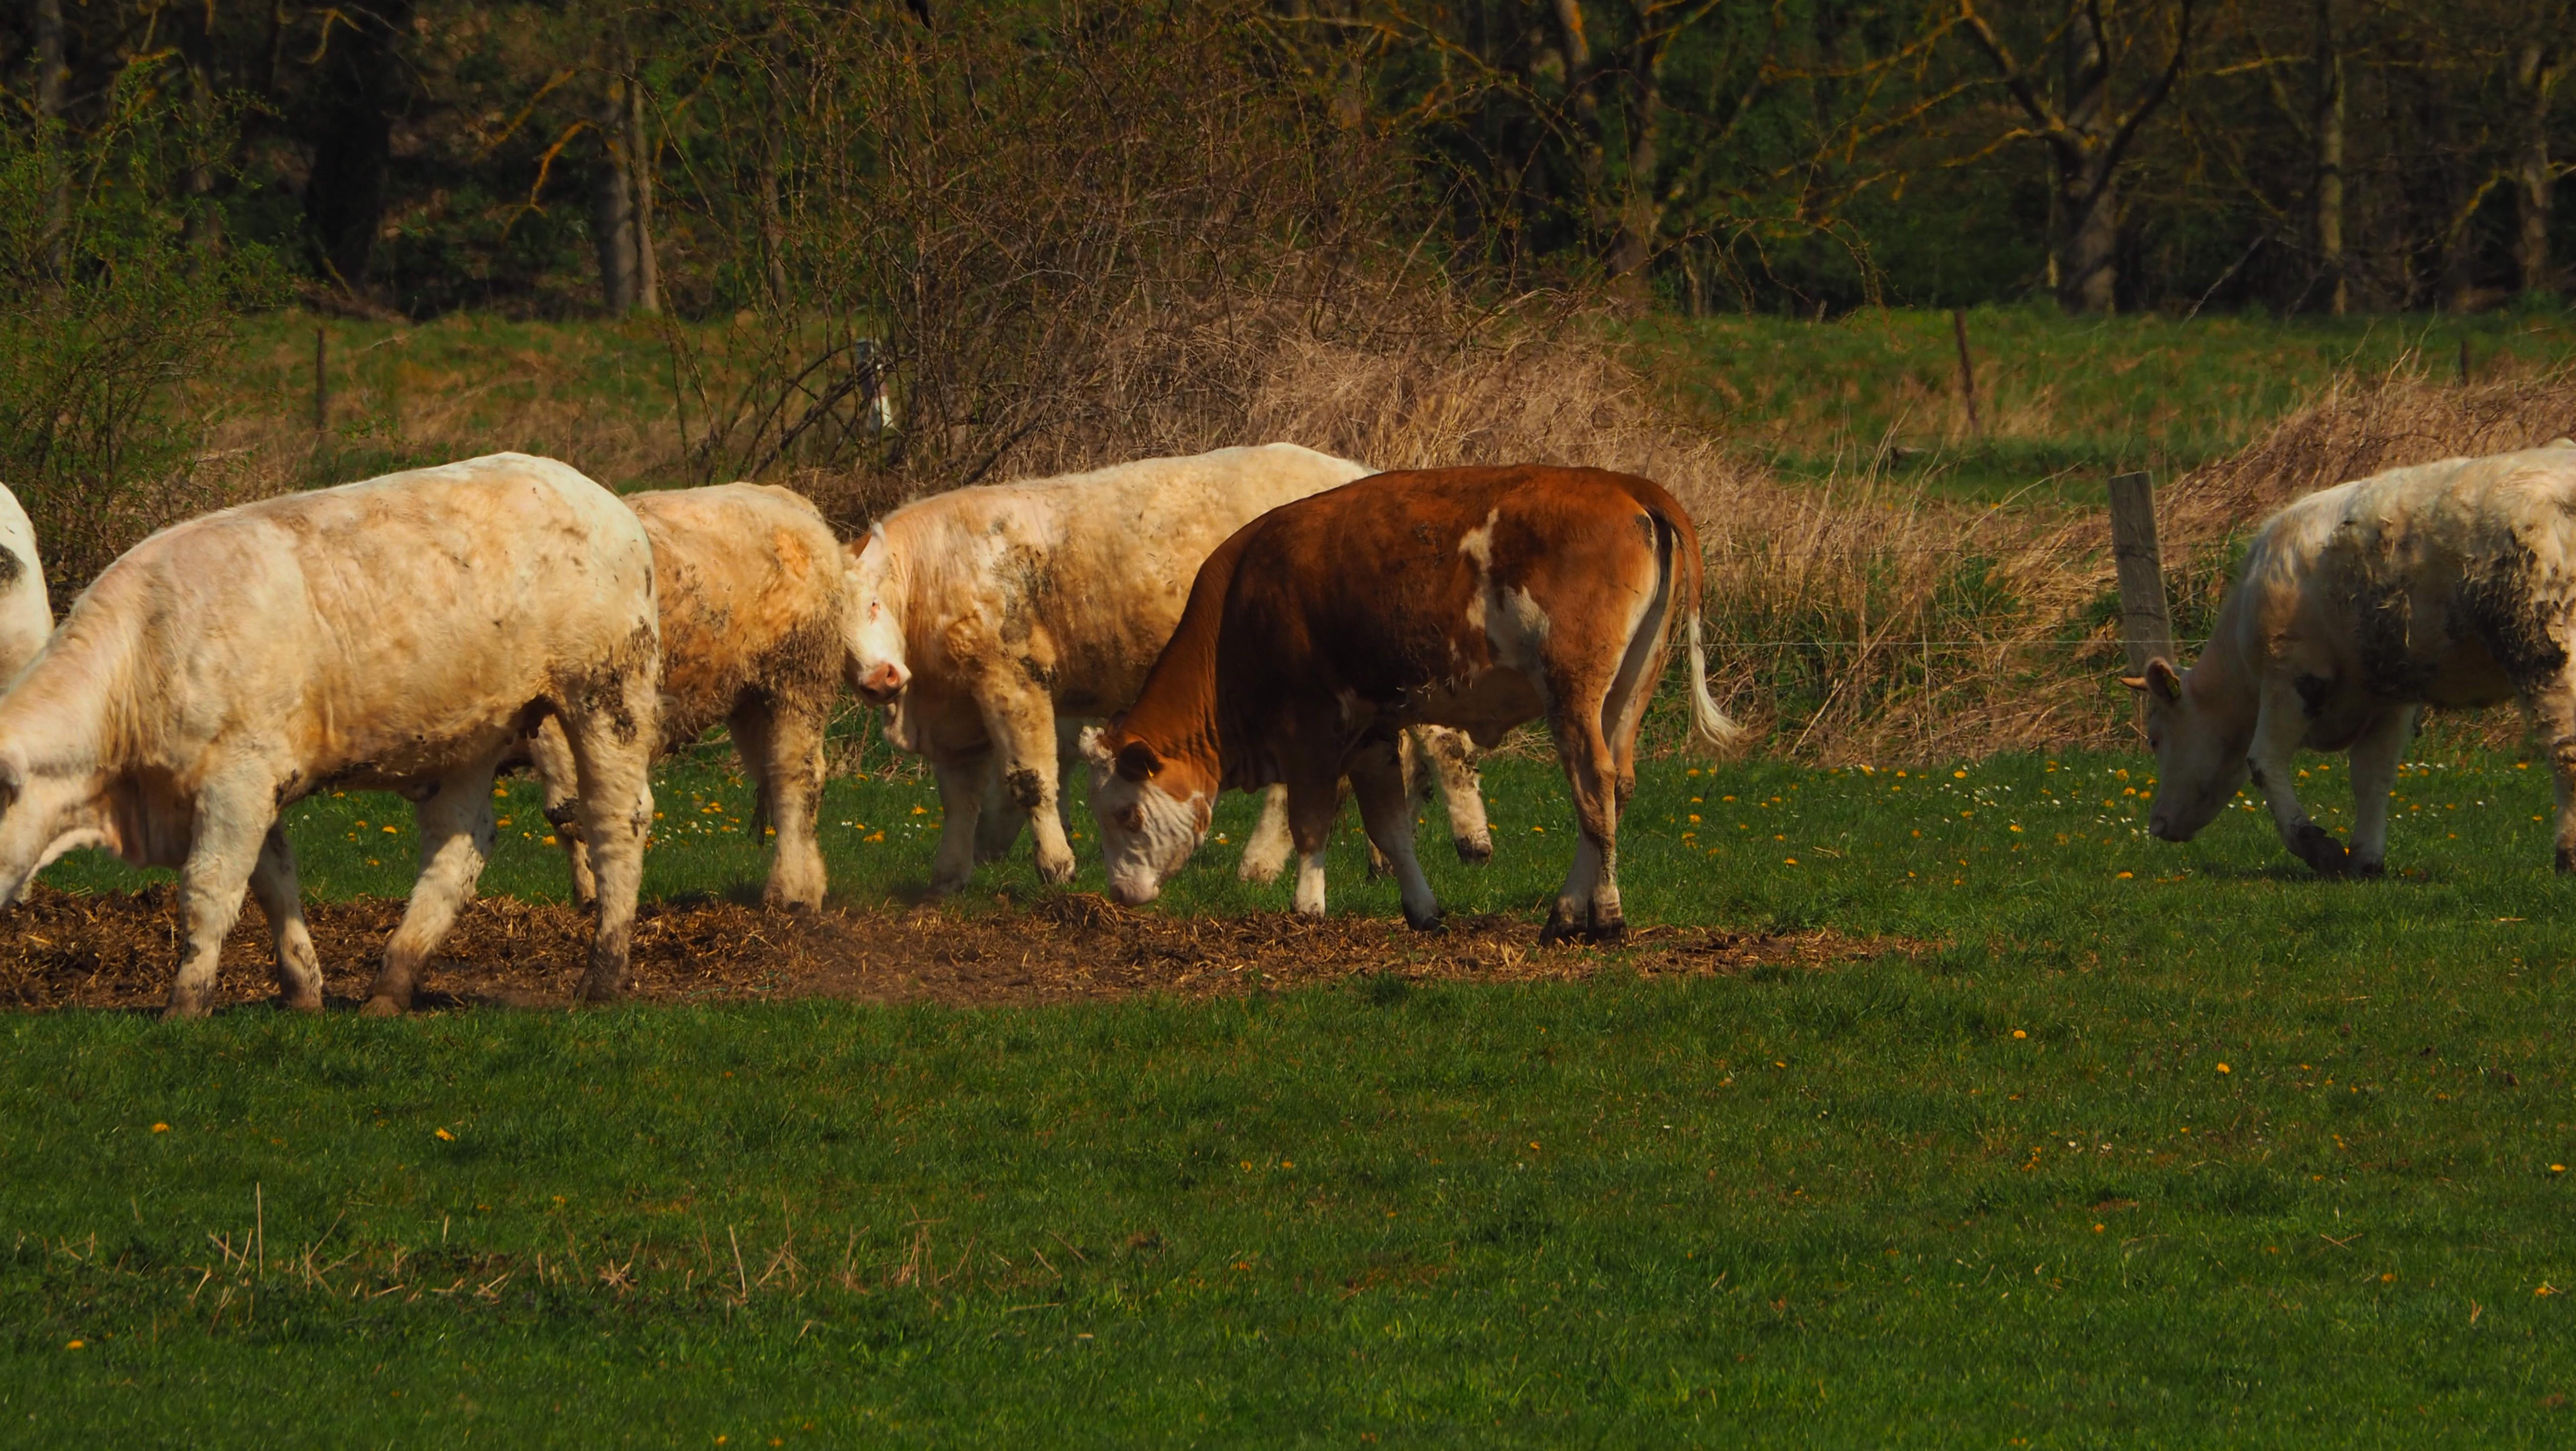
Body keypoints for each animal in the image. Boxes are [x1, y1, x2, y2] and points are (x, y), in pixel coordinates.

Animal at [0, 453, 659, 1020]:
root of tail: (589, 490)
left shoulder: (239, 780)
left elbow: (210, 889)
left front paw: (184, 1004)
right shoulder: (255, 786)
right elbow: (274, 885)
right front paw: (303, 988)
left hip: (606, 695)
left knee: (616, 819)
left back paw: (602, 974)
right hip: (472, 734)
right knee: (461, 844)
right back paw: (391, 982)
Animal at [528, 482, 860, 912]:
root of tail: (782, 497)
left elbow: (575, 811)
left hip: (798, 679)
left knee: (796, 778)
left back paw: (788, 891)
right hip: (748, 700)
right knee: (774, 775)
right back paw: (809, 886)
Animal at [1076, 466, 1741, 943]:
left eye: (1125, 814)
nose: (1121, 892)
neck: (1241, 605)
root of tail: (1624, 483)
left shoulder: (1309, 726)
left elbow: (1311, 820)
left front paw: (1306, 909)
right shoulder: (1372, 733)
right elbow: (1391, 828)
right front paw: (1422, 910)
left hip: (1572, 691)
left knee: (1593, 787)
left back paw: (1605, 915)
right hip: (1627, 692)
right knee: (1617, 786)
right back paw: (1566, 914)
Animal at [2133, 440, 2576, 876]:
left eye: (2155, 739)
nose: (2157, 824)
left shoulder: (2290, 678)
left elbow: (2263, 762)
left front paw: (2317, 848)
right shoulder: (2390, 696)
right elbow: (2372, 777)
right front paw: (2366, 858)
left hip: (2544, 654)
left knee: (2564, 748)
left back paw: (2567, 858)